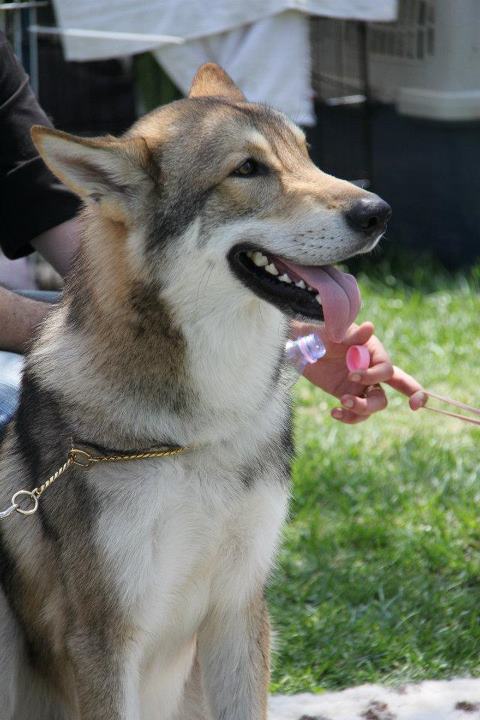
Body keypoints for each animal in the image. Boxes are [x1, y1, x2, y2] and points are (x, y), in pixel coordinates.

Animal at [0, 64, 390, 716]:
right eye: (248, 170)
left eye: (306, 154)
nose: (378, 211)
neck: (202, 429)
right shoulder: (105, 638)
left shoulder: (239, 607)